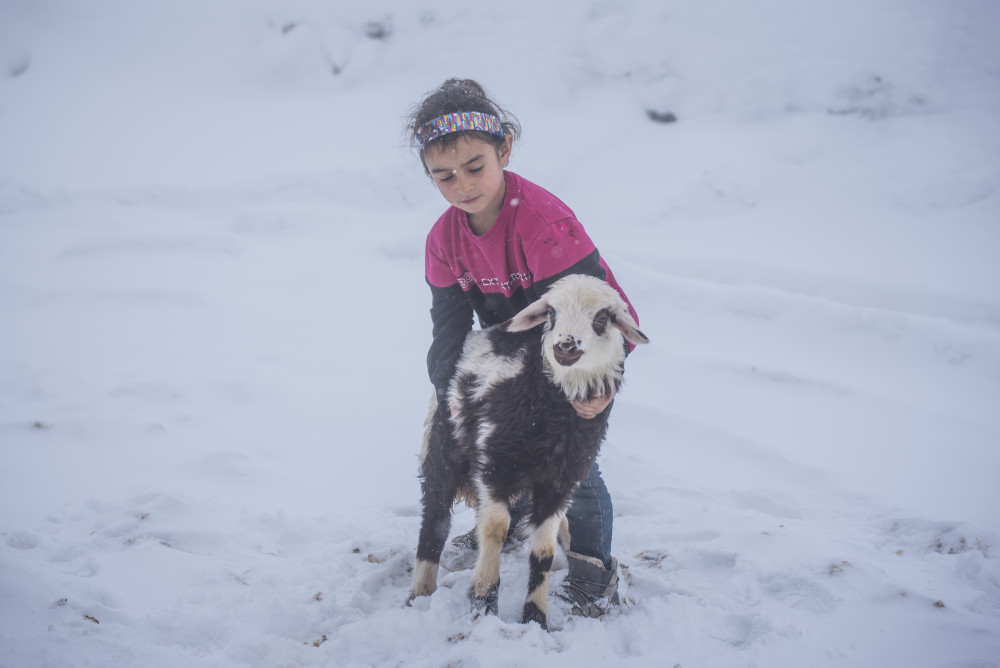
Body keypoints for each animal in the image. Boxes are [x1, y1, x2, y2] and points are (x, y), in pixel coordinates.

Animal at [408, 274, 648, 628]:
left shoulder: (560, 481)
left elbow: (544, 550)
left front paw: (536, 617)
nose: (565, 346)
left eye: (602, 318)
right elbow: (494, 531)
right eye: (551, 314)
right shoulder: (495, 465)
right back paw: (421, 594)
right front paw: (483, 601)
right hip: (445, 448)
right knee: (435, 517)